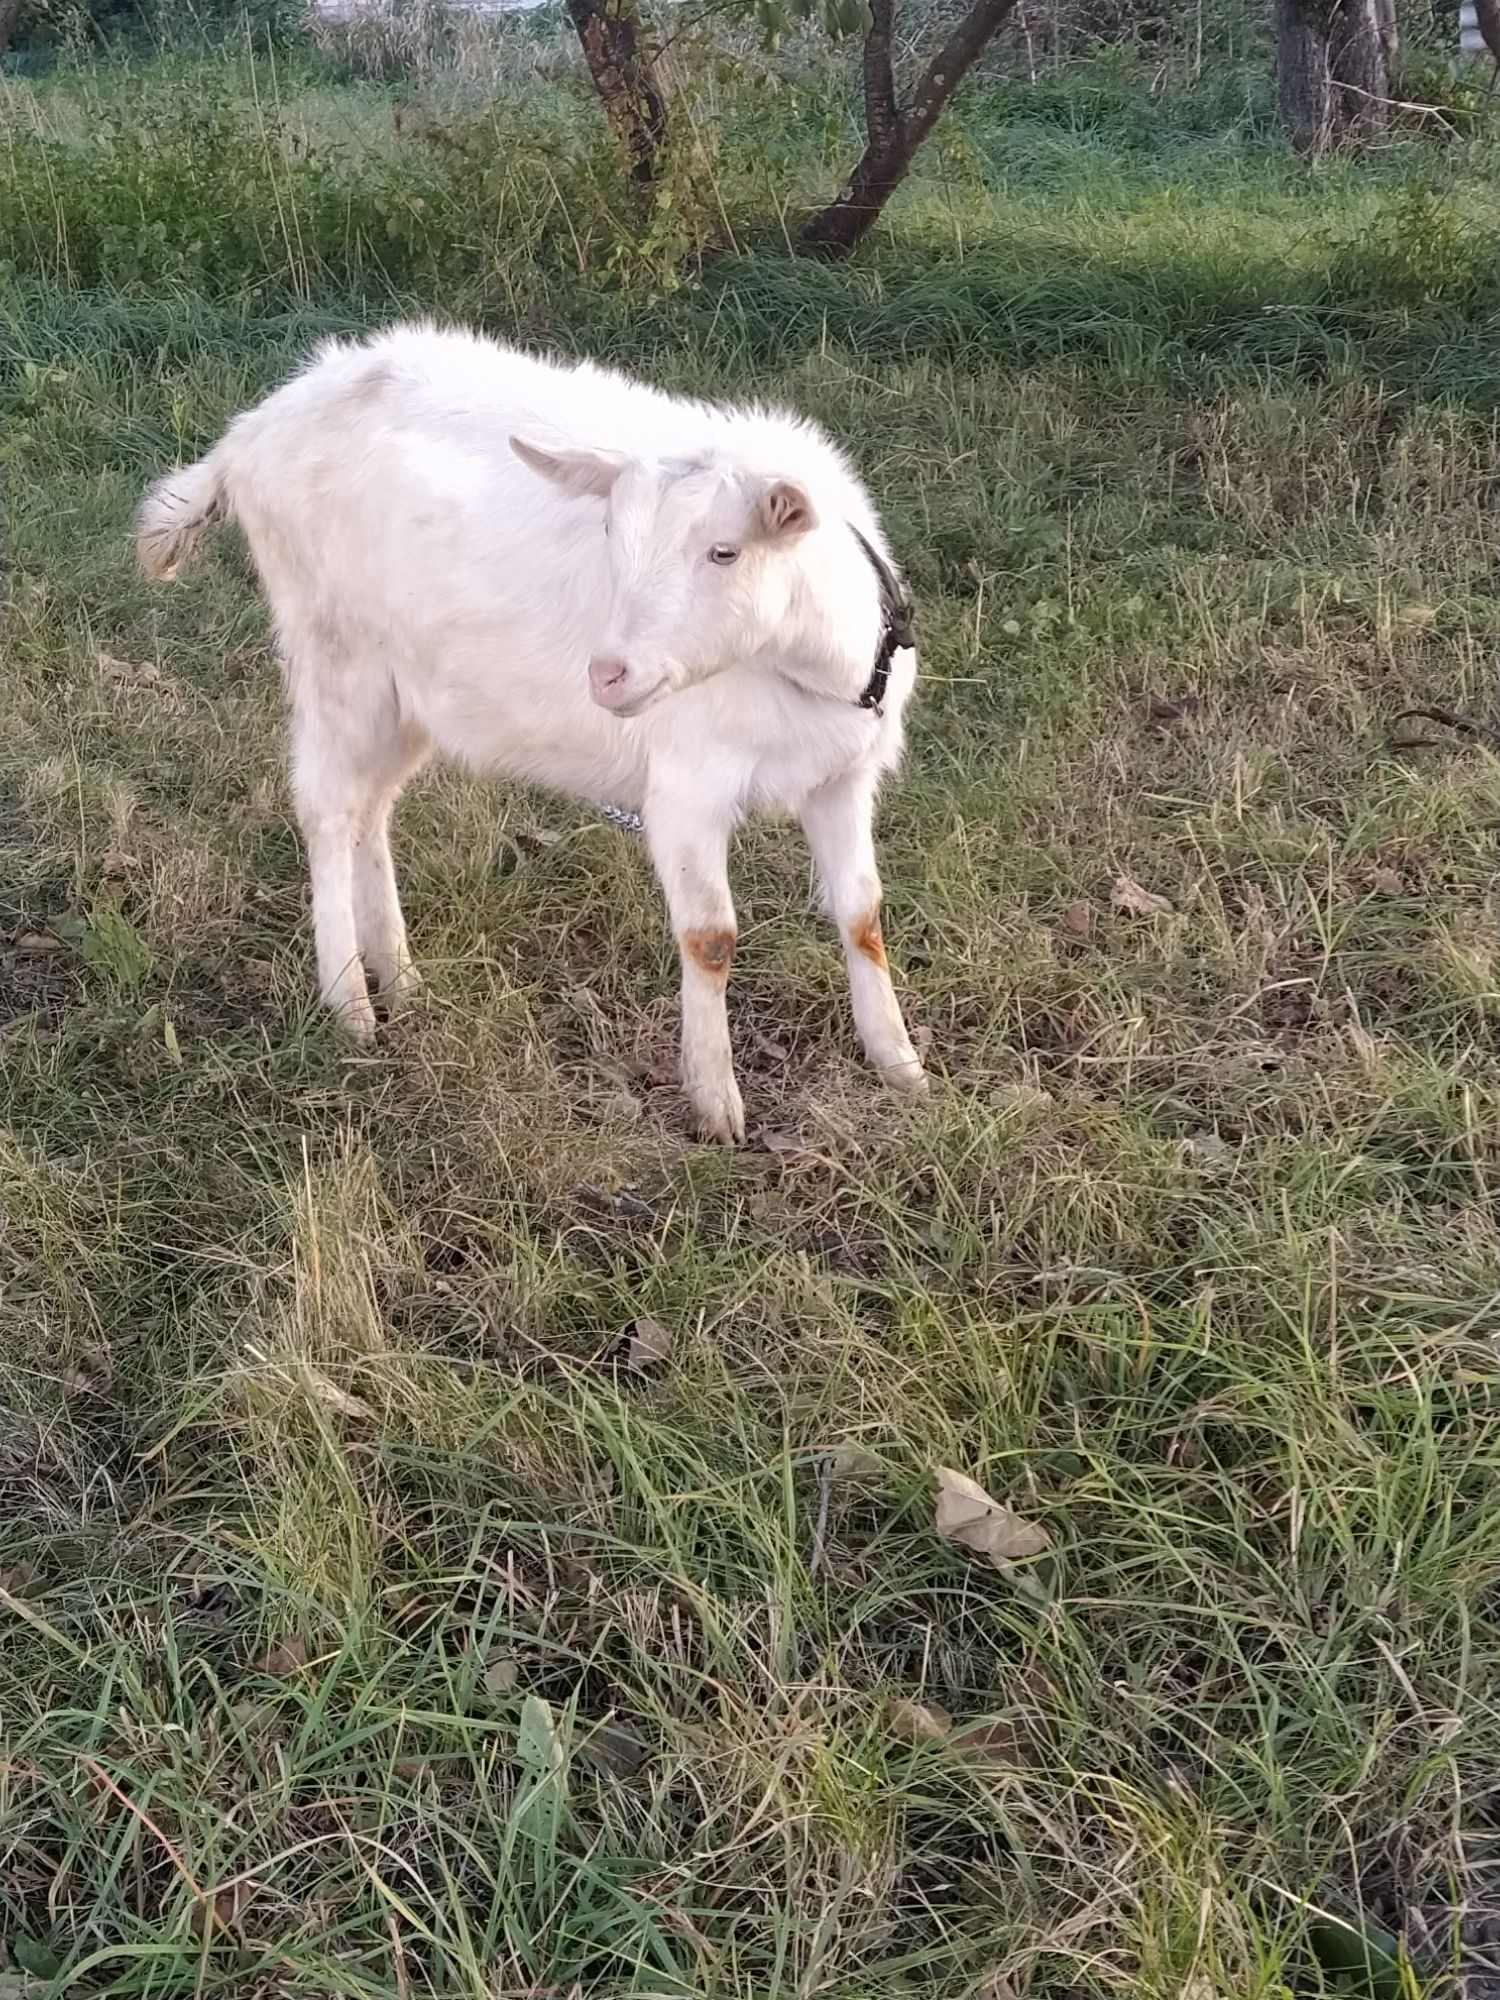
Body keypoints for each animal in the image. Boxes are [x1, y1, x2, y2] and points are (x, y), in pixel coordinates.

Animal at [138, 326, 928, 1144]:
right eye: (612, 535)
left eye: (725, 551)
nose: (608, 674)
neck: (811, 665)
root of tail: (254, 431)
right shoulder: (687, 792)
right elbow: (711, 939)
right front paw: (716, 1106)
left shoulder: (844, 777)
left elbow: (863, 913)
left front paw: (900, 1064)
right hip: (334, 655)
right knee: (327, 808)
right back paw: (350, 1004)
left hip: (407, 691)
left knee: (370, 808)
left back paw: (400, 976)